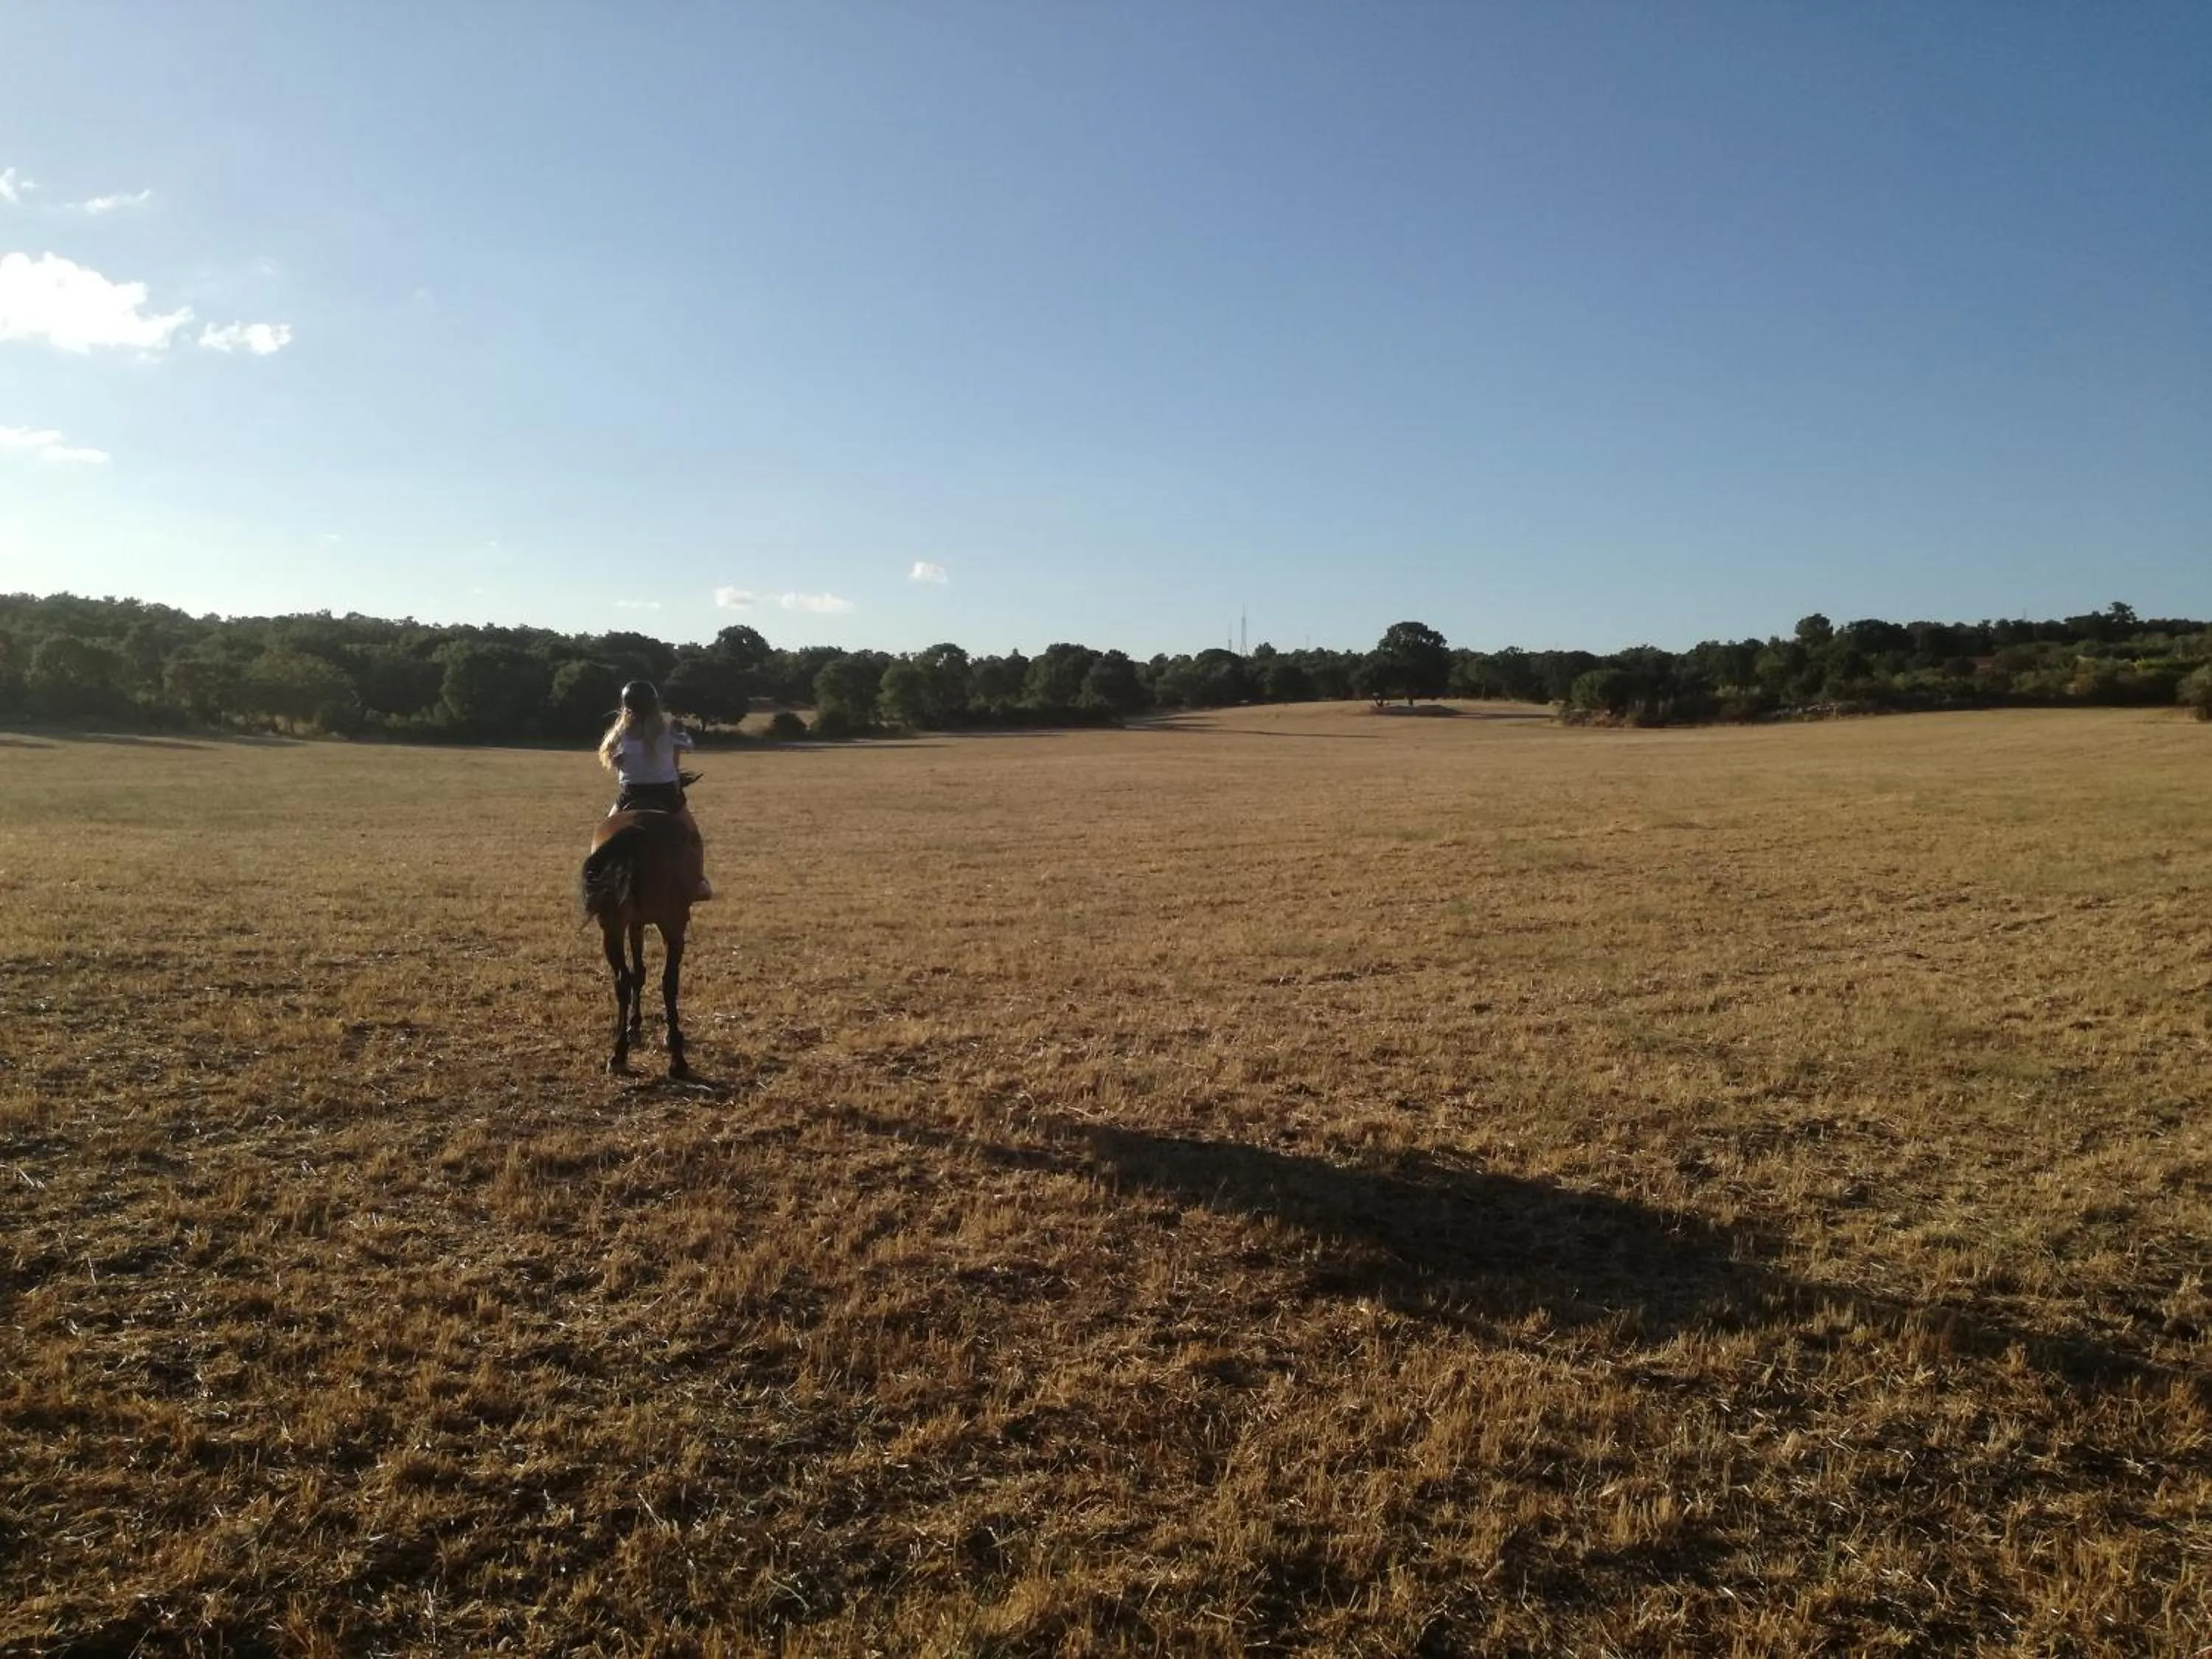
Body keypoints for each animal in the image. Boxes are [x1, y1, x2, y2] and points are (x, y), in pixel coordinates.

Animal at [579, 794, 701, 1078]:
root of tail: (636, 831)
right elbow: (647, 974)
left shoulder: (633, 922)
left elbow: (637, 972)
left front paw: (633, 1026)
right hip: (673, 923)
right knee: (669, 982)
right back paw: (677, 1057)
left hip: (611, 925)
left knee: (622, 980)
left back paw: (618, 1054)